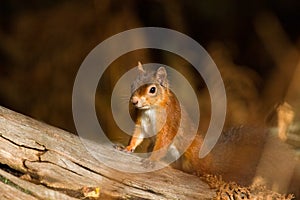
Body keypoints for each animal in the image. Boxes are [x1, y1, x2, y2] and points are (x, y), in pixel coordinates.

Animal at [118, 63, 298, 197]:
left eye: (152, 89)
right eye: (133, 84)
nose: (134, 101)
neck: (150, 110)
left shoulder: (169, 124)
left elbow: (163, 141)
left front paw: (152, 160)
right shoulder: (141, 123)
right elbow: (136, 137)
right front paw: (127, 148)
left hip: (190, 154)